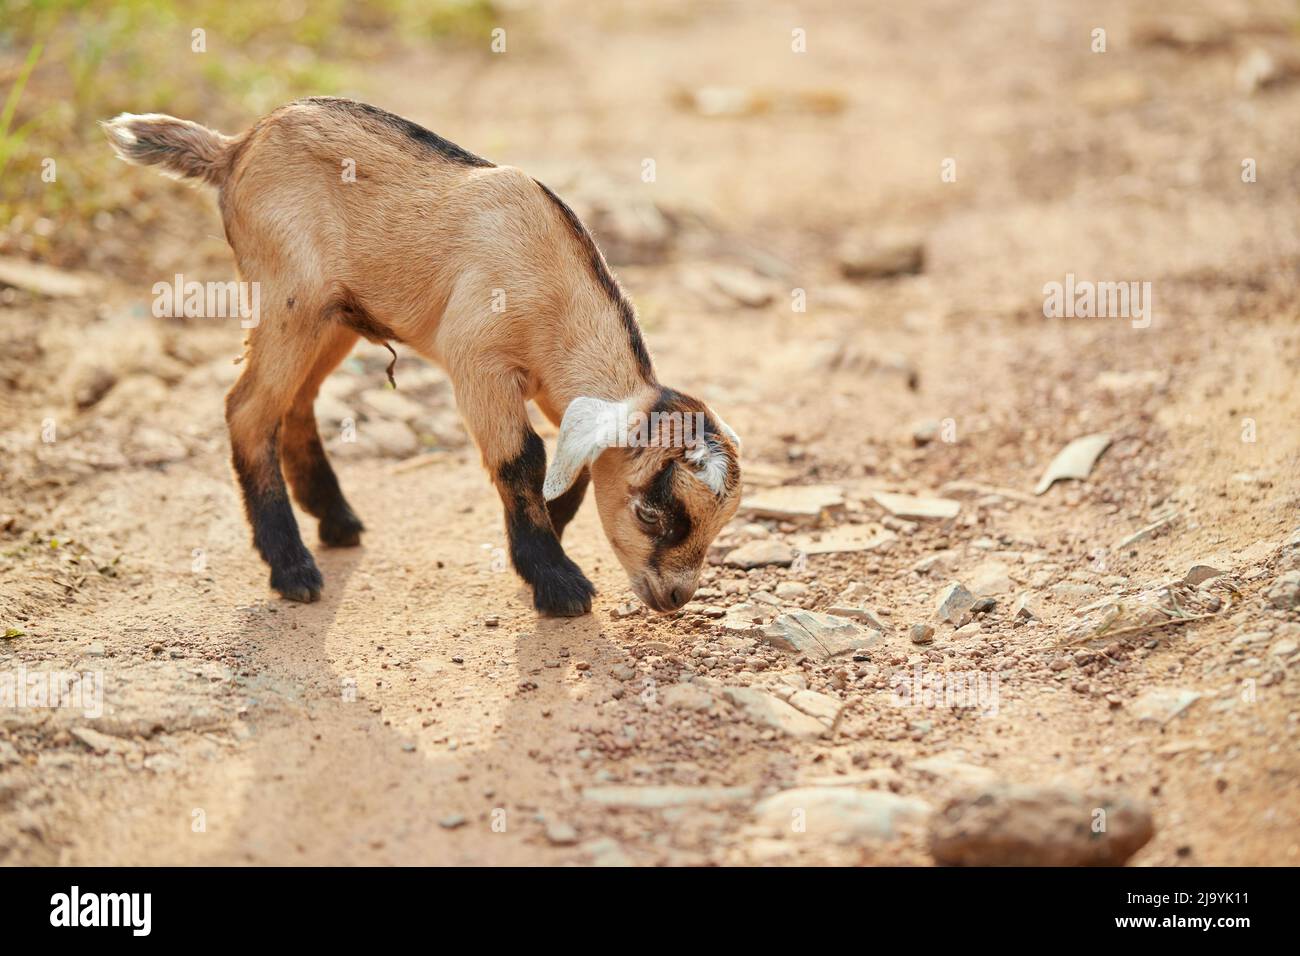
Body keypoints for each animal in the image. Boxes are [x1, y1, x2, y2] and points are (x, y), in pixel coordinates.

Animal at [104, 98, 743, 621]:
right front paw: (556, 581)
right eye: (651, 515)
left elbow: (572, 469)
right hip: (287, 295)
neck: (553, 287)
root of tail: (234, 148)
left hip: (332, 318)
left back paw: (335, 519)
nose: (675, 597)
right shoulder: (478, 365)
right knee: (249, 409)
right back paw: (292, 568)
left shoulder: (553, 389)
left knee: (296, 402)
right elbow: (523, 459)